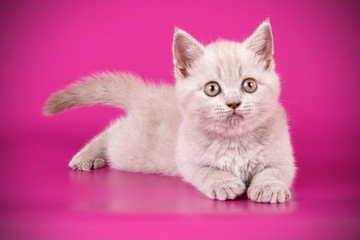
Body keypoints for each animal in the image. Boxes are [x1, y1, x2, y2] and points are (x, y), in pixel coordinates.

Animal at [44, 20, 296, 203]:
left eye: (249, 85)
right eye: (212, 88)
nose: (234, 103)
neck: (235, 141)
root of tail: (146, 94)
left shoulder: (284, 157)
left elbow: (274, 170)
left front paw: (269, 188)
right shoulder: (188, 160)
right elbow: (207, 171)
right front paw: (224, 183)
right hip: (131, 150)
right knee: (111, 132)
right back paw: (86, 156)